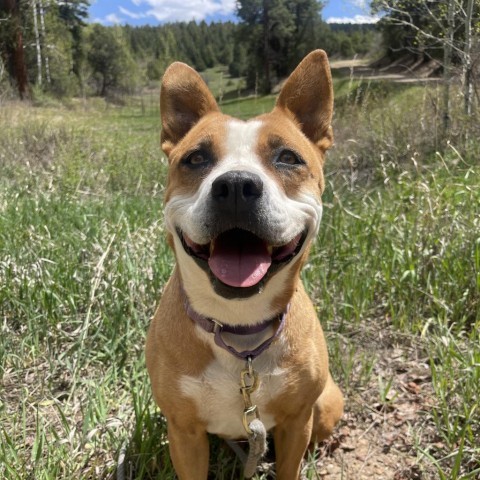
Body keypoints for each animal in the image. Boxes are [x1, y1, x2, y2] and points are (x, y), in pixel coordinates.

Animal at [144, 50, 344, 478]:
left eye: (287, 157)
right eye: (196, 157)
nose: (236, 185)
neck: (240, 336)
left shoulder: (296, 423)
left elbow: (289, 466)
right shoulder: (183, 433)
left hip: (326, 403)